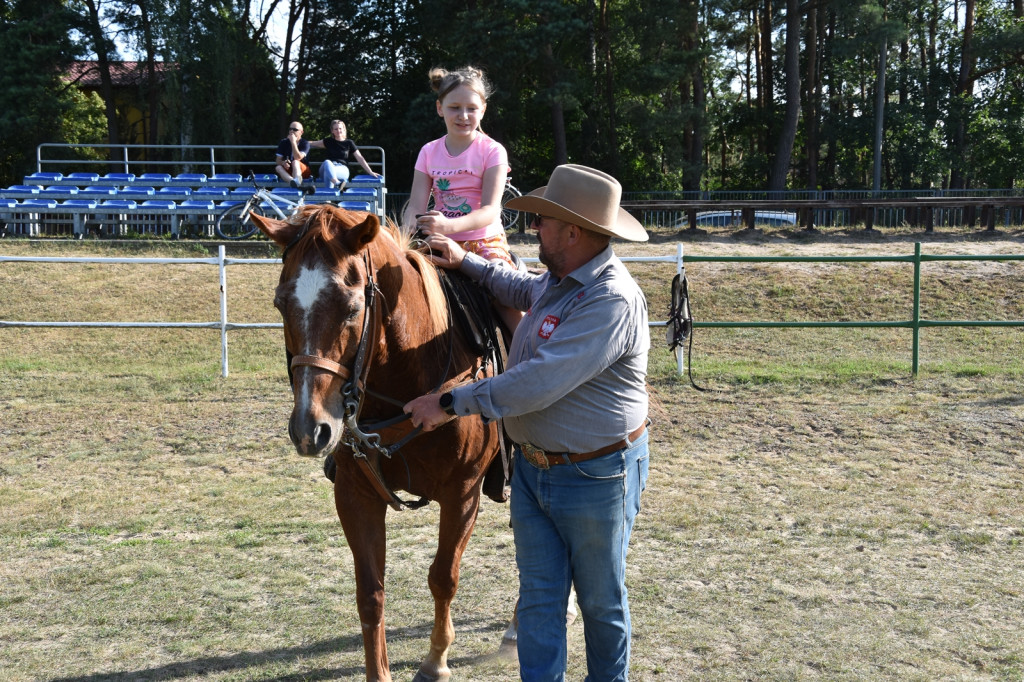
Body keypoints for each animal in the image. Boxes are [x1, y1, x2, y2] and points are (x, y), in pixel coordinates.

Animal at [249, 204, 501, 675]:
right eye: (280, 304)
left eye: (351, 308)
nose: (310, 430)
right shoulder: (355, 494)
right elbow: (370, 592)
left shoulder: (463, 493)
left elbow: (443, 576)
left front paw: (436, 660)